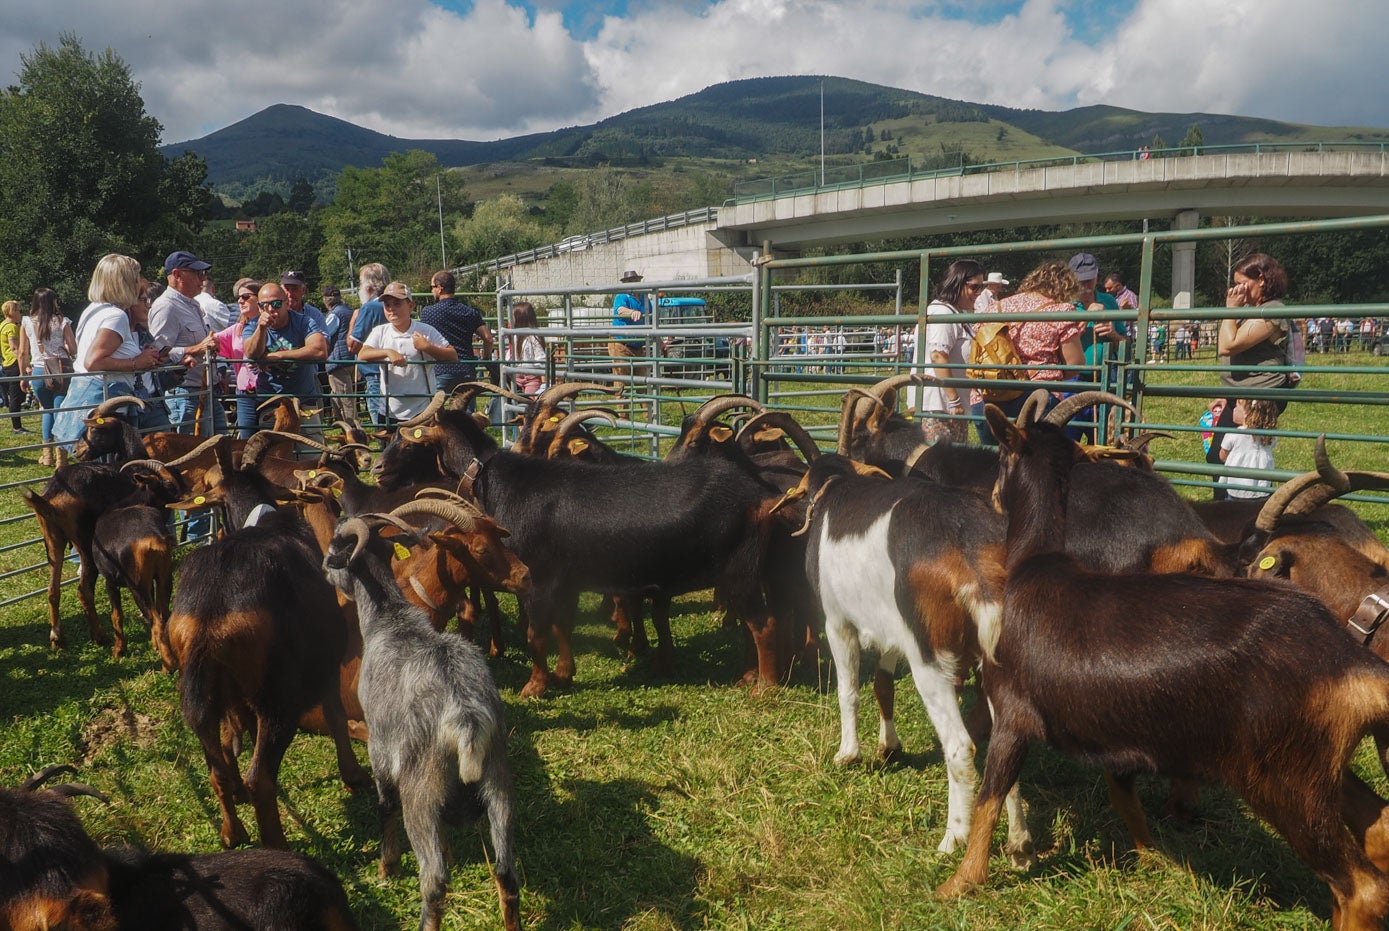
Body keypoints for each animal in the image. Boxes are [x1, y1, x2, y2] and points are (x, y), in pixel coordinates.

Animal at [164, 433, 369, 850]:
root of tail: (210, 613)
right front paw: (354, 776)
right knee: (262, 776)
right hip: (278, 699)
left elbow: (230, 740)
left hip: (200, 692)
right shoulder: (325, 660)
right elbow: (337, 715)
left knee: (216, 766)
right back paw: (278, 844)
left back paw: (233, 832)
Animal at [322, 503, 522, 931]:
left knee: (433, 880)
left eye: (334, 546)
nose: (325, 570)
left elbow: (383, 805)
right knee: (506, 872)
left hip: (421, 791)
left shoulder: (379, 745)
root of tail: (466, 719)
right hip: (499, 783)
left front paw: (387, 867)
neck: (390, 618)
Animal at [938, 405, 1389, 931]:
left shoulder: (1013, 713)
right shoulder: (1109, 730)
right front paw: (1154, 857)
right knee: (1377, 830)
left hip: (1285, 783)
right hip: (1315, 766)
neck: (1038, 565)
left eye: (1003, 455)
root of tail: (1352, 661)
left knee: (1360, 887)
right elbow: (1123, 797)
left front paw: (959, 883)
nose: (990, 495)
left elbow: (990, 797)